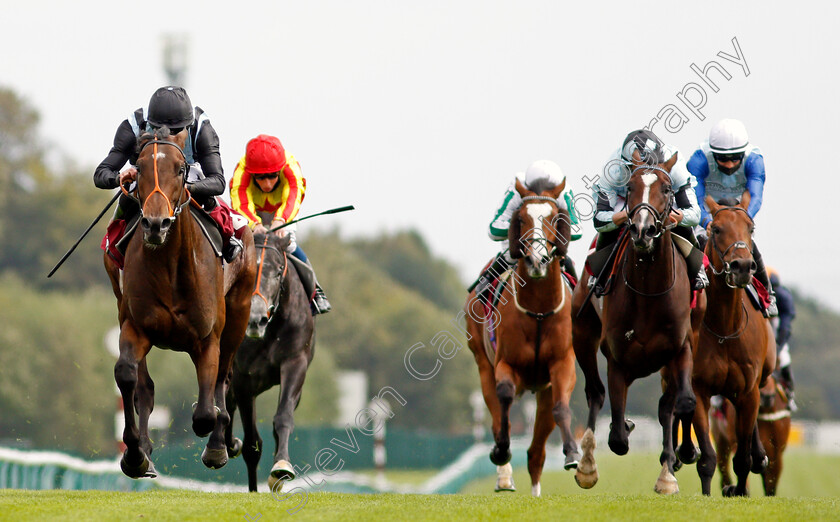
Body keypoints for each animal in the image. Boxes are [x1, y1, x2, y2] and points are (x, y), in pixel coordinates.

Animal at [101, 126, 254, 476]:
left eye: (181, 169)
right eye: (139, 167)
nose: (156, 224)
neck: (170, 266)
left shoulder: (208, 338)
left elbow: (206, 411)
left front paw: (215, 440)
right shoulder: (135, 326)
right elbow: (128, 376)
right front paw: (135, 452)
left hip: (238, 316)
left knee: (223, 379)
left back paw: (220, 444)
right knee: (144, 386)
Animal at [223, 232, 316, 492]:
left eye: (278, 271)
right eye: (248, 271)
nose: (256, 320)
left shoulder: (295, 361)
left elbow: (283, 417)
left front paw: (281, 468)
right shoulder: (243, 377)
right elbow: (252, 444)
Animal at [462, 177, 580, 494]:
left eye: (554, 217)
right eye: (521, 218)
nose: (537, 260)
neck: (538, 310)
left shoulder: (562, 364)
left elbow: (562, 408)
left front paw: (573, 454)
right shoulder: (506, 363)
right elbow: (503, 399)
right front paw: (501, 451)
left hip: (543, 388)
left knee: (536, 452)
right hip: (482, 364)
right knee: (495, 413)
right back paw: (503, 474)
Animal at [572, 150, 696, 492]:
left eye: (667, 189)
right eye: (629, 188)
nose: (642, 230)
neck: (649, 292)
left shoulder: (681, 348)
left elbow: (682, 403)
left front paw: (679, 458)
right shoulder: (616, 357)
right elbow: (617, 437)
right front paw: (624, 427)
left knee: (667, 405)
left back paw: (669, 465)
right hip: (582, 336)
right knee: (595, 392)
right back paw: (587, 465)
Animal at [680, 193, 776, 494]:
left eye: (751, 228)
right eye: (717, 229)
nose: (742, 266)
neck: (724, 327)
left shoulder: (747, 391)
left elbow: (742, 459)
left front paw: (741, 489)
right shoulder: (700, 390)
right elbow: (708, 459)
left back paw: (760, 456)